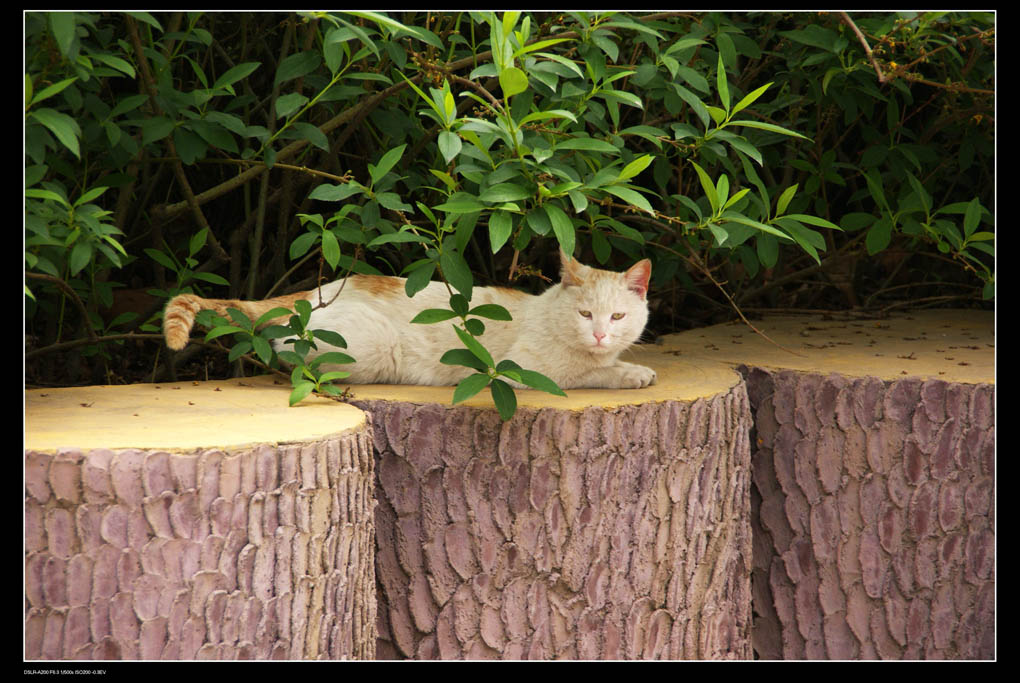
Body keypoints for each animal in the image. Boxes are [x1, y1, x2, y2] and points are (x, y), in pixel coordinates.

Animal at [159, 249, 652, 391]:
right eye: (585, 313)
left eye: (618, 316)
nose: (601, 334)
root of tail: (313, 294)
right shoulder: (527, 370)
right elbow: (591, 373)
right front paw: (632, 372)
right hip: (376, 348)